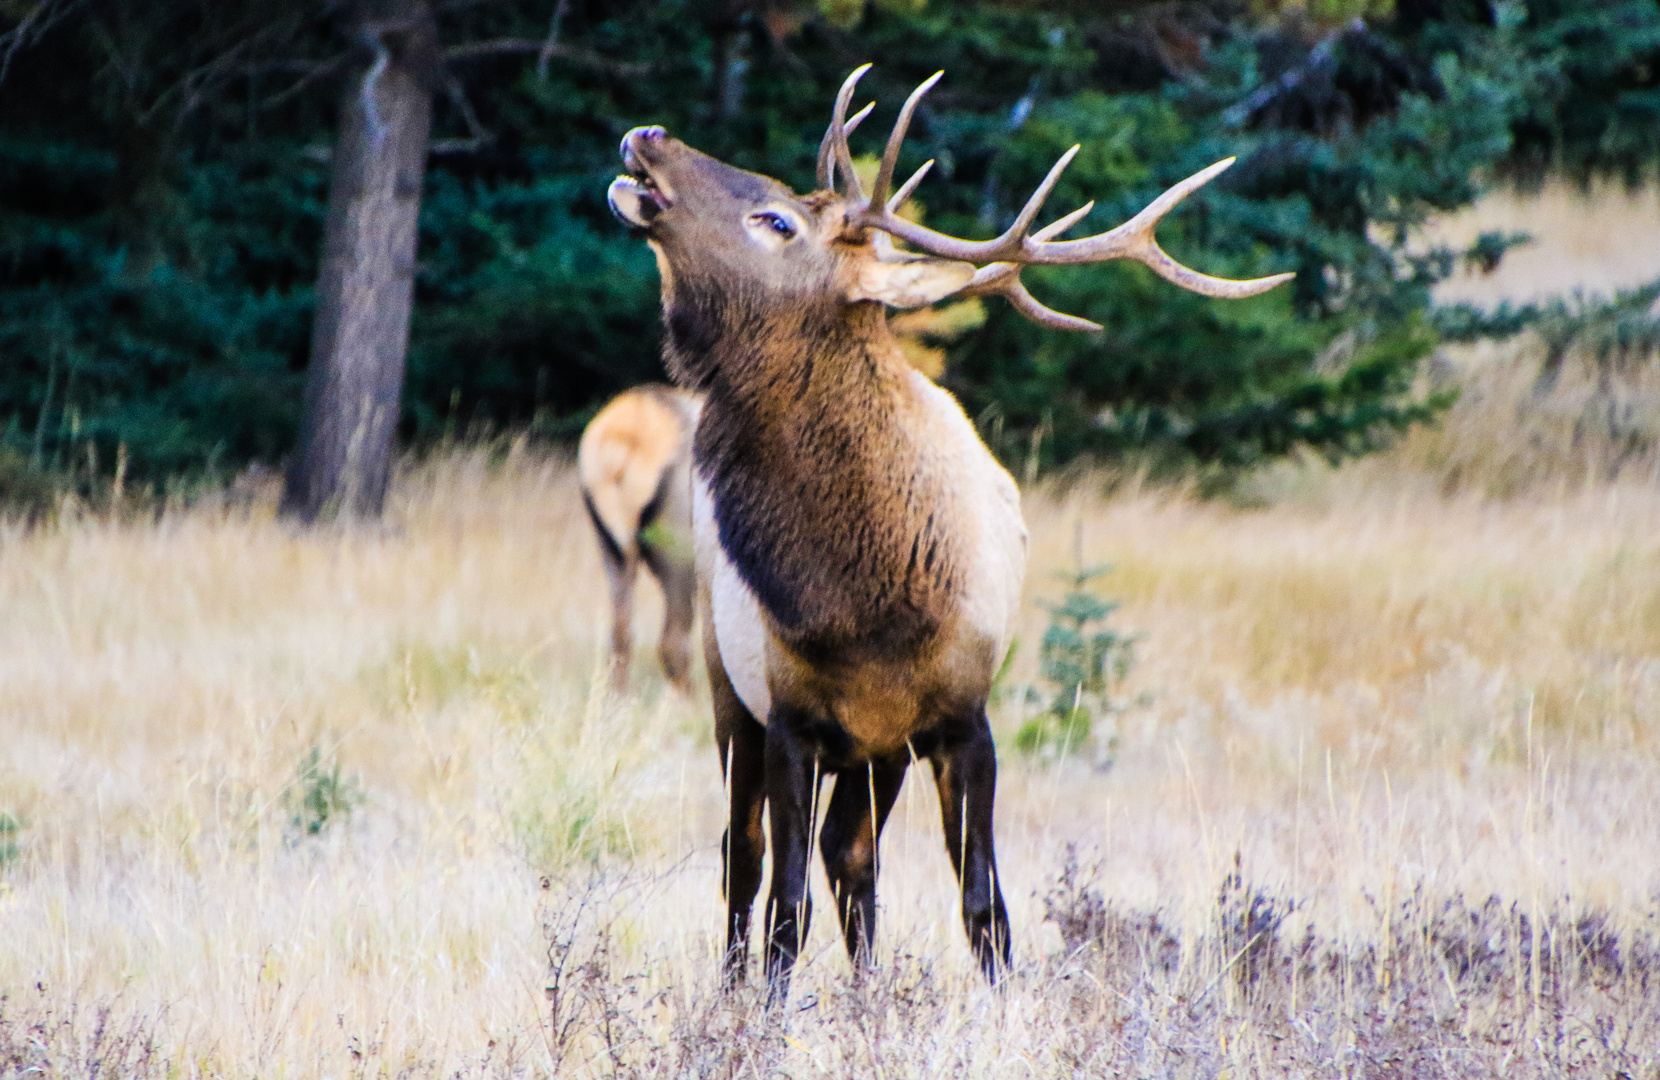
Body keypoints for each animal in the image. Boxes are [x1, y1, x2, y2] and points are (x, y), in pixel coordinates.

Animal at [610, 63, 1294, 1002]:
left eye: (777, 220)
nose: (648, 135)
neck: (870, 607)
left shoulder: (964, 716)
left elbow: (983, 906)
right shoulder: (787, 716)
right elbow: (785, 905)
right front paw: (763, 1013)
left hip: (876, 751)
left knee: (849, 854)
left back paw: (865, 992)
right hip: (728, 691)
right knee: (741, 859)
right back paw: (739, 987)